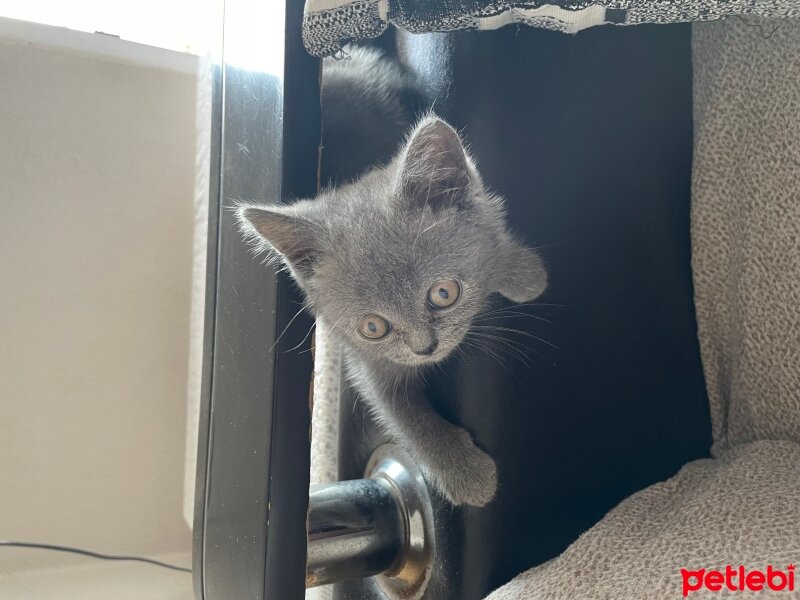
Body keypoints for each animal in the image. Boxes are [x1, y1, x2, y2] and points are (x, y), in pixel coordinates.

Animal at [238, 62, 548, 506]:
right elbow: (401, 412)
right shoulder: (365, 358)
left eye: (443, 293)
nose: (425, 348)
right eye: (373, 327)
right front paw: (467, 475)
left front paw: (522, 271)